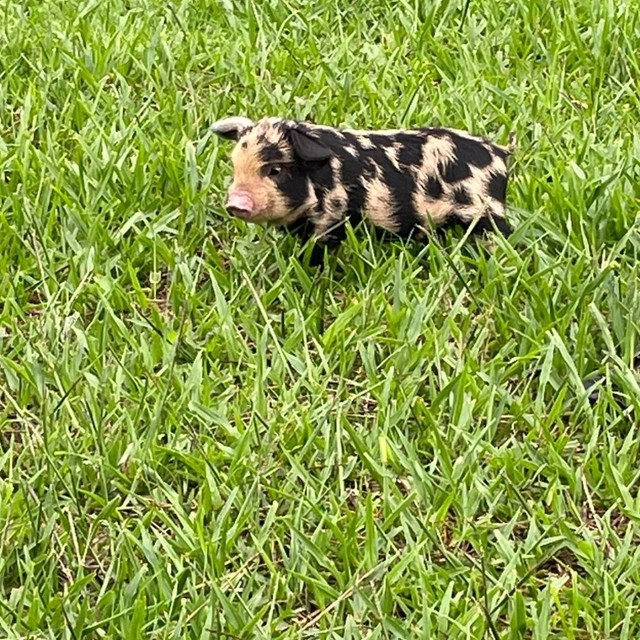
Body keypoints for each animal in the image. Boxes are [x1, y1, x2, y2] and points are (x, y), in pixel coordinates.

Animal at [211, 115, 514, 265]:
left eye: (275, 170)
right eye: (235, 165)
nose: (235, 203)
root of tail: (501, 153)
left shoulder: (331, 220)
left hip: (484, 211)